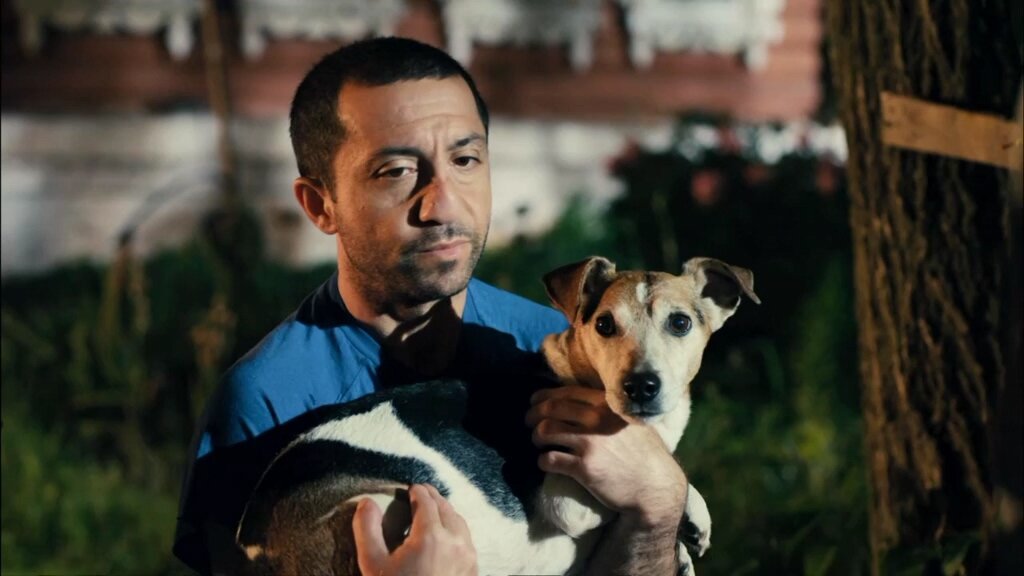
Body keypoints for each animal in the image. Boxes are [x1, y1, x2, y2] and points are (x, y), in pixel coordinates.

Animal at [234, 256, 759, 575]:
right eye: (605, 325)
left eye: (681, 323)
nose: (641, 386)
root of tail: (252, 545)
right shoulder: (567, 501)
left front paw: (691, 524)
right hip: (386, 504)